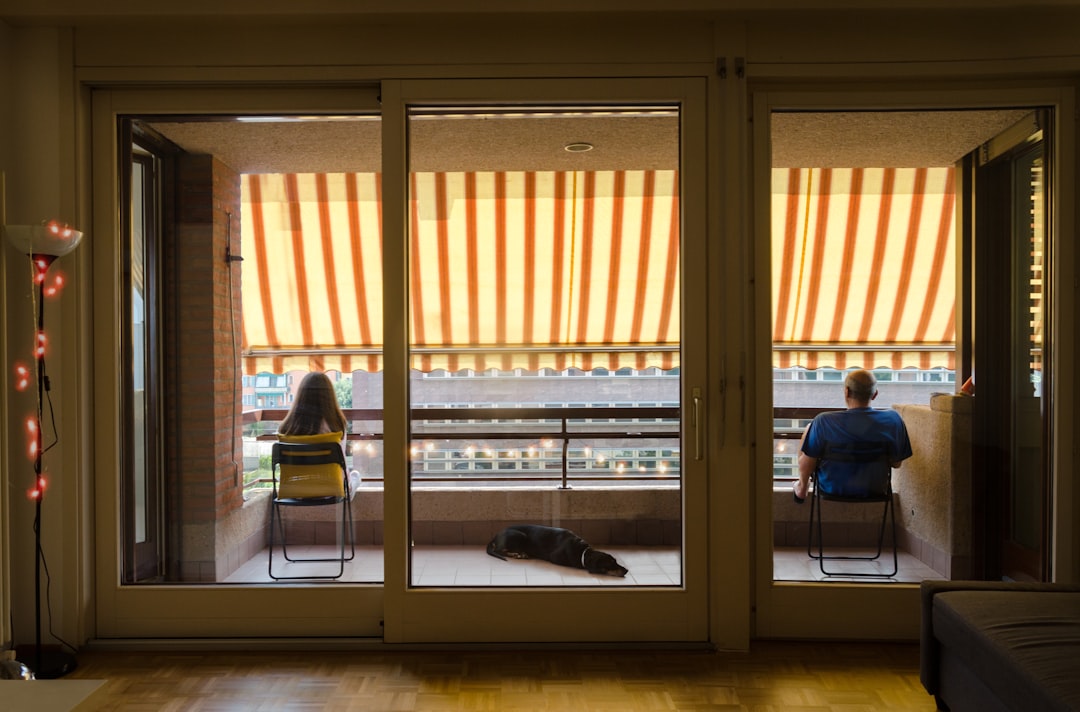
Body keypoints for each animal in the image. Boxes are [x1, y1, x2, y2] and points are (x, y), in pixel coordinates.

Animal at [486, 527, 630, 574]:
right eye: (611, 563)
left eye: (616, 561)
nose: (626, 570)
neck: (583, 552)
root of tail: (496, 535)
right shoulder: (554, 557)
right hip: (520, 535)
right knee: (499, 550)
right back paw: (518, 554)